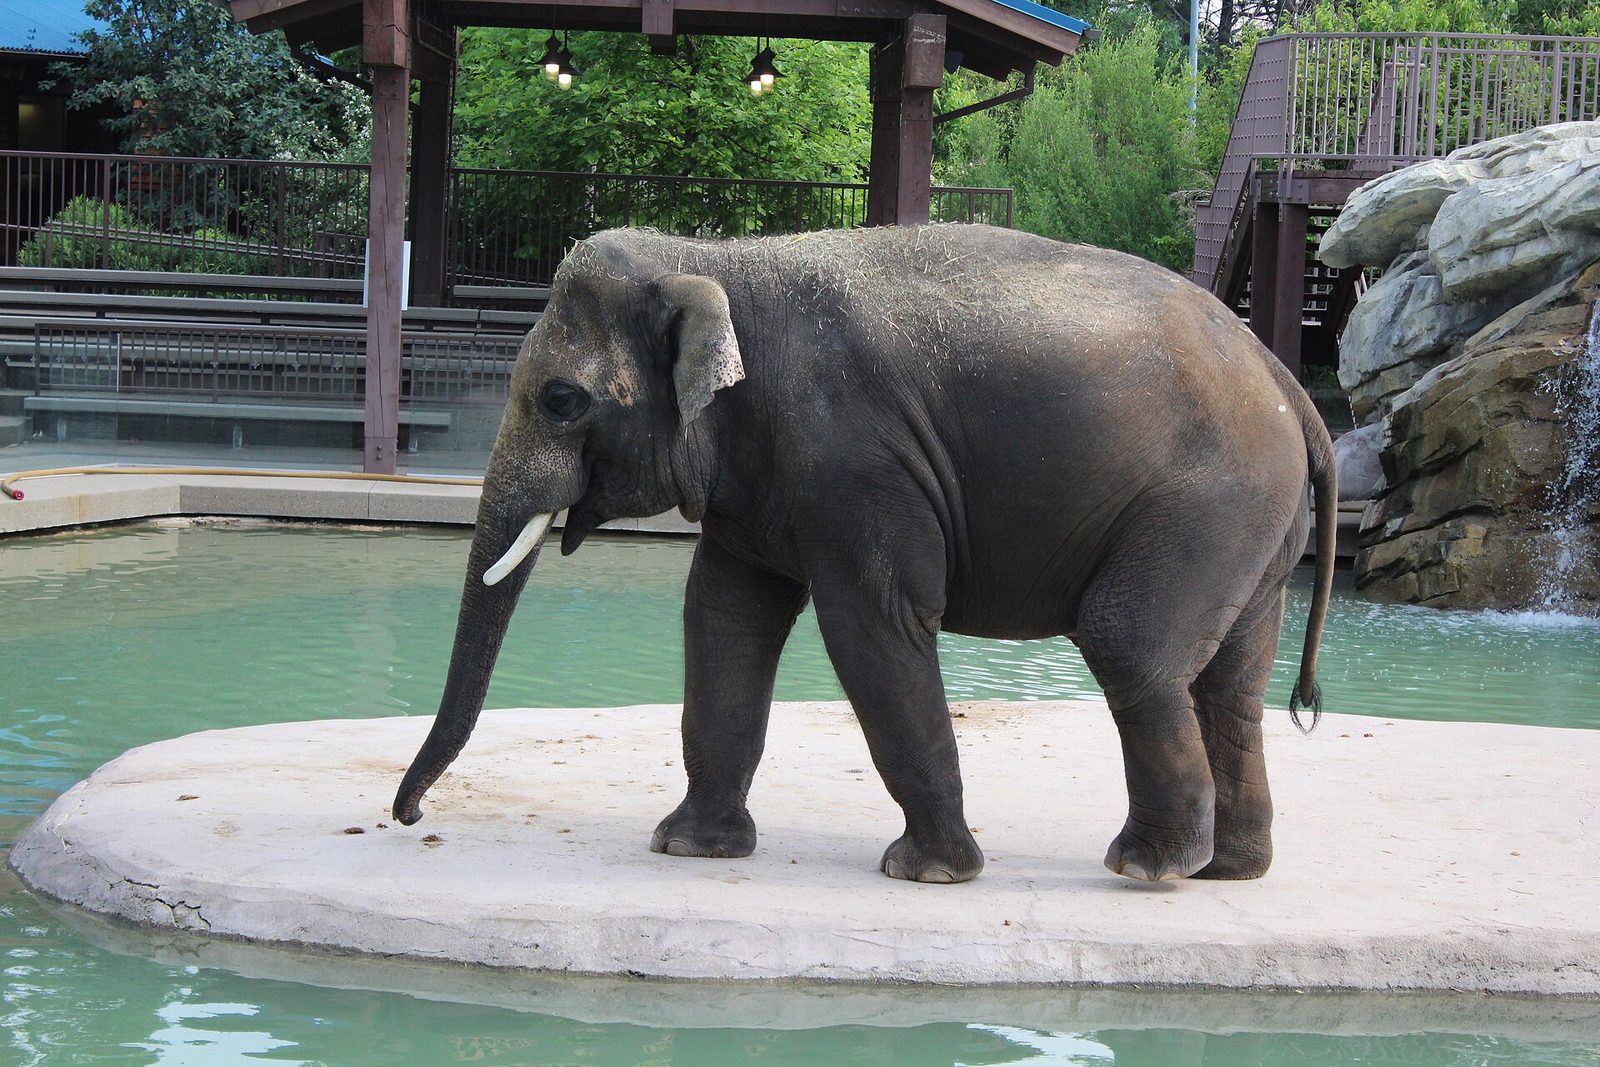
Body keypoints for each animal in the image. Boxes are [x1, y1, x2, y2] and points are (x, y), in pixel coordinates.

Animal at [393, 224, 1336, 885]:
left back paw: (1146, 866)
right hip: (1255, 527)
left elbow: (873, 628)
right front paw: (688, 849)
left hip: (1210, 501)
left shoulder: (856, 461)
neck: (713, 260)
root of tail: (1288, 384)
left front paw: (929, 873)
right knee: (1229, 682)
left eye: (562, 399)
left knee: (1130, 644)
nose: (408, 817)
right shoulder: (761, 479)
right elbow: (723, 618)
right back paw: (1228, 868)